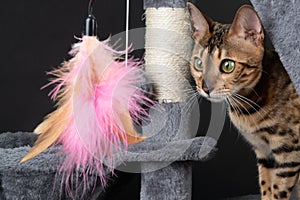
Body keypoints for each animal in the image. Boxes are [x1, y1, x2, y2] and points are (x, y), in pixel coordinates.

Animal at [188, 3, 300, 200]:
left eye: (228, 65)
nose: (205, 88)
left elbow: (278, 191)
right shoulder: (263, 151)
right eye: (198, 64)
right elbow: (266, 187)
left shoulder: (289, 151)